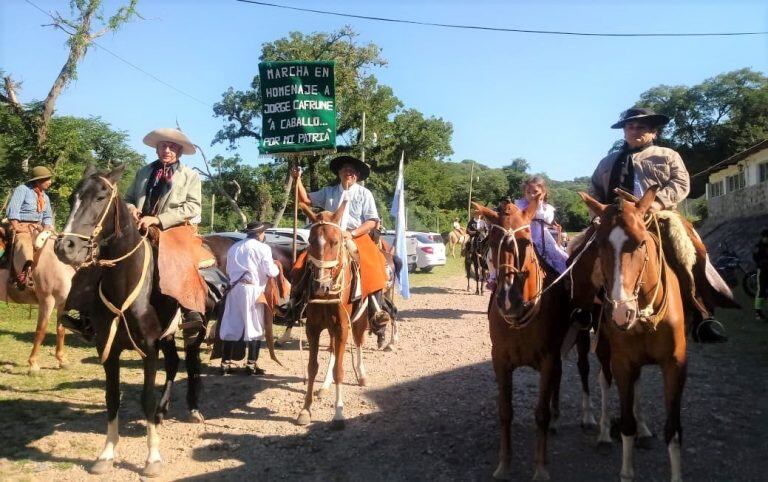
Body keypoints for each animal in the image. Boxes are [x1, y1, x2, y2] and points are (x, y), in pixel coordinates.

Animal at [476, 199, 584, 478]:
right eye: (491, 241)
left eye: (525, 240)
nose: (507, 299)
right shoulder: (500, 361)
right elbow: (505, 411)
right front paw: (504, 464)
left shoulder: (547, 359)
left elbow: (541, 413)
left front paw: (540, 468)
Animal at [580, 188, 688, 482]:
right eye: (599, 244)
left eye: (641, 243)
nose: (620, 313)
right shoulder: (622, 362)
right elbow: (626, 423)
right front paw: (627, 471)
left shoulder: (675, 364)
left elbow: (673, 429)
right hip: (603, 348)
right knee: (603, 379)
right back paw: (605, 432)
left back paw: (644, 430)